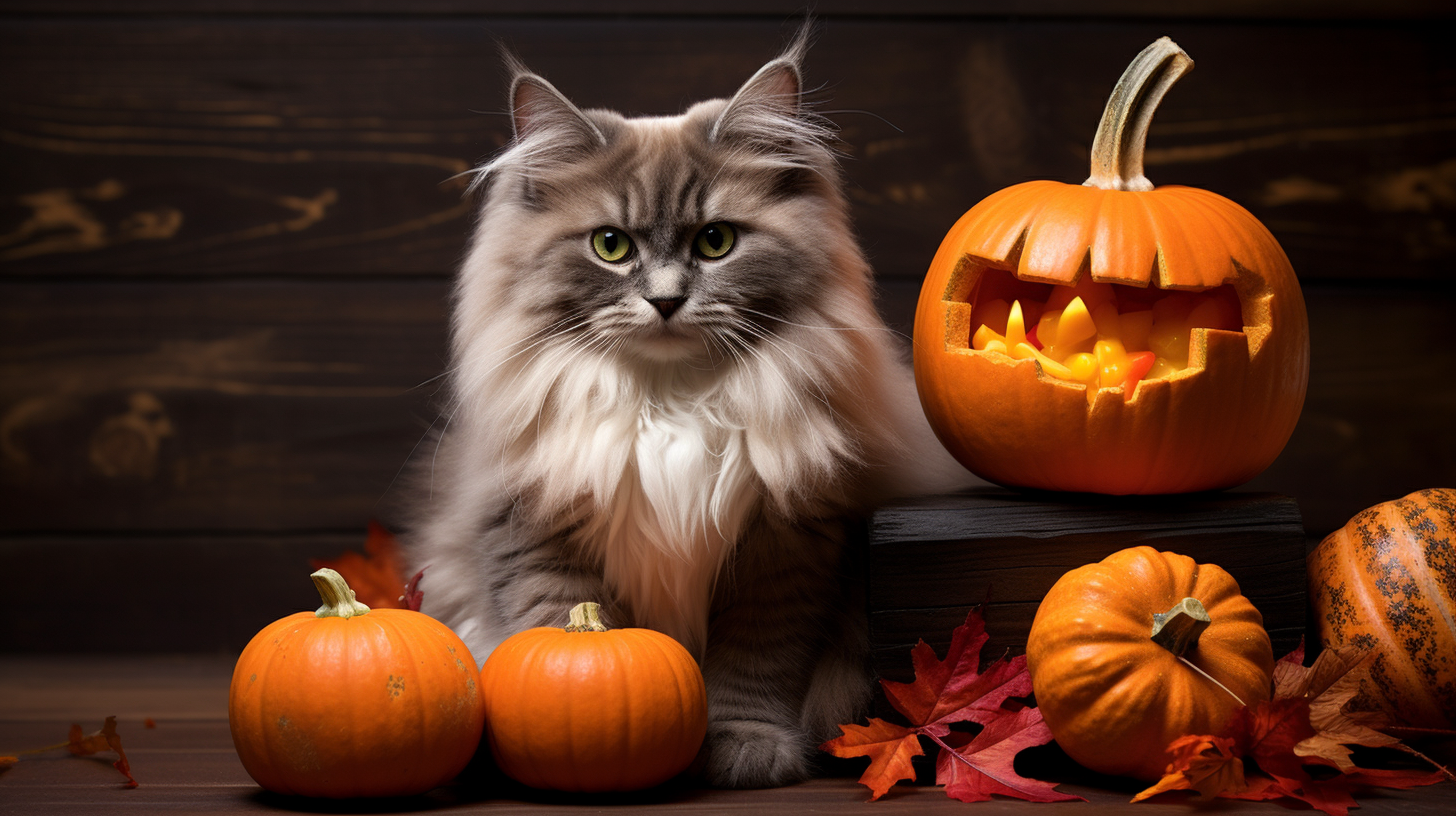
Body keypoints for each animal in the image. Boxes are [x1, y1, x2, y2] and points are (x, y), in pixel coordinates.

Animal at [407, 33, 978, 792]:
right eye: (611, 246)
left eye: (715, 241)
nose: (666, 300)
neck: (669, 399)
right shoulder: (535, 529)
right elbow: (560, 626)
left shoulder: (784, 546)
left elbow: (753, 666)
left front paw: (743, 747)